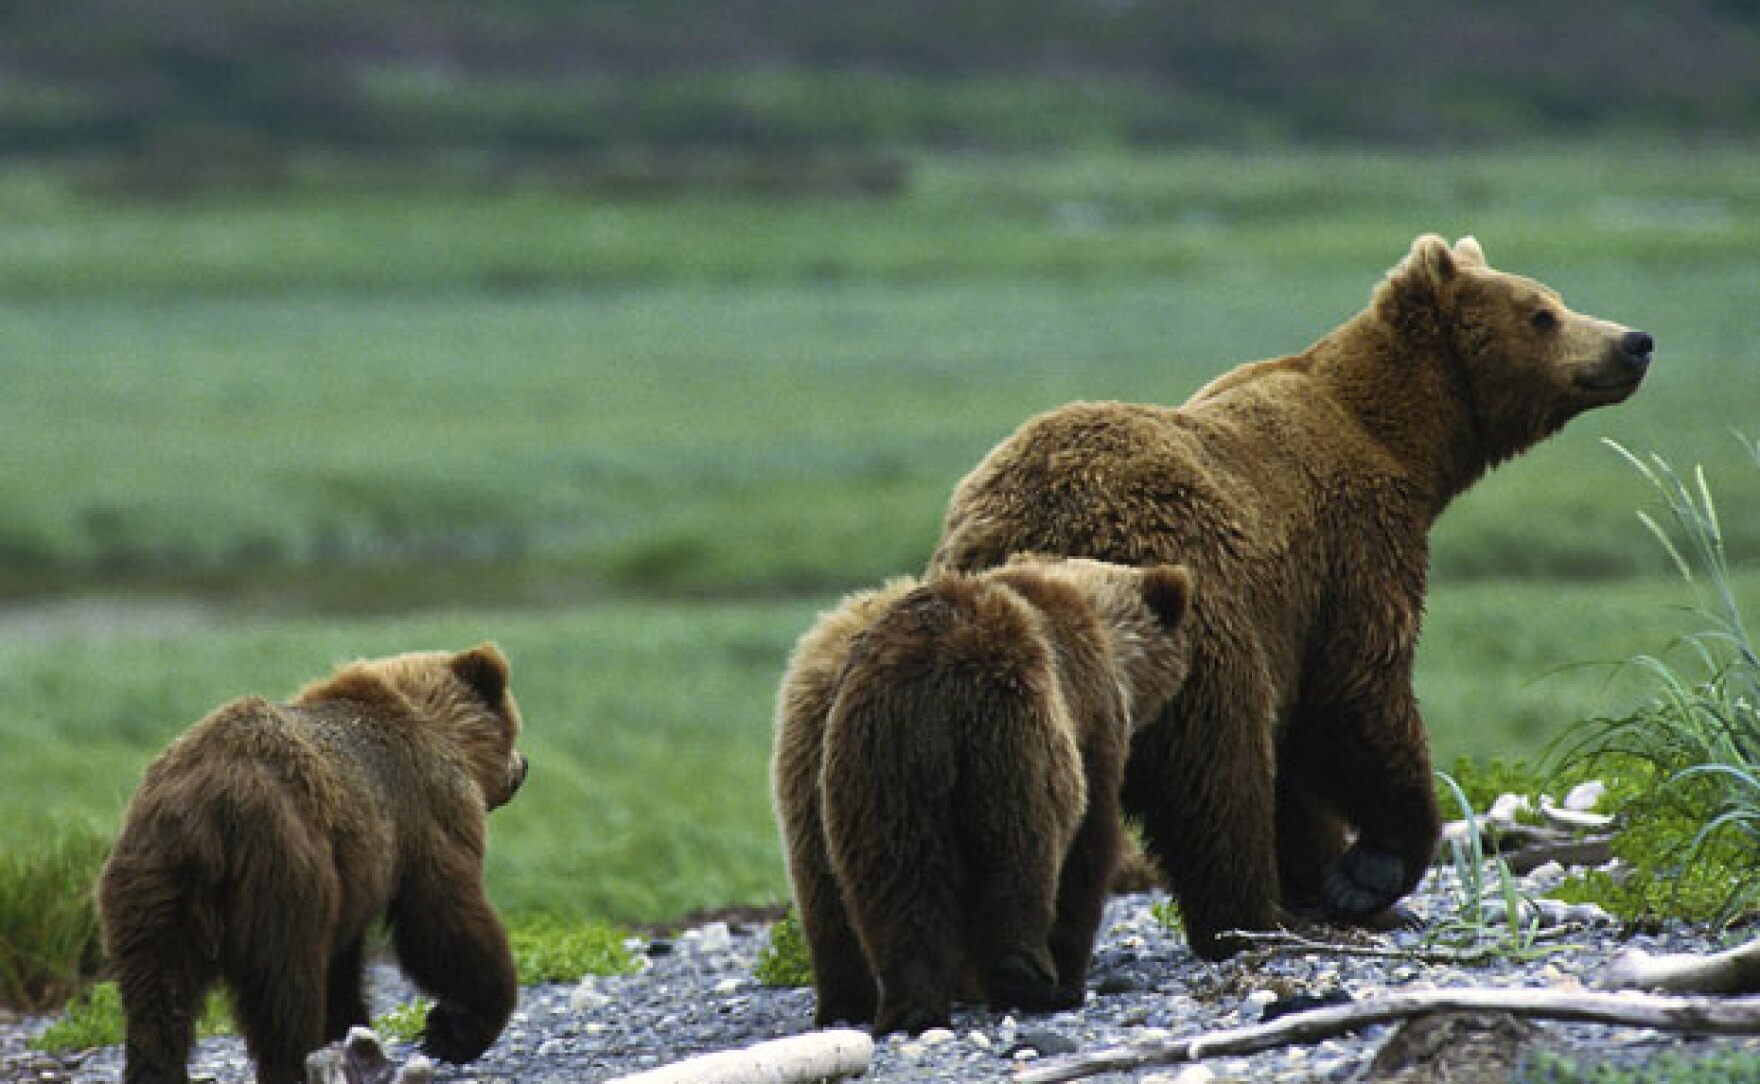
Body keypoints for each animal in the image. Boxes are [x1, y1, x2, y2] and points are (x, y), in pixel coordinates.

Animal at [98, 643, 530, 1084]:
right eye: (515, 726)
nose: (524, 765)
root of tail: (208, 805)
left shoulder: (355, 875)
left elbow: (344, 968)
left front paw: (356, 1033)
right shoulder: (425, 811)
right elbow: (442, 917)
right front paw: (454, 1030)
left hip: (155, 884)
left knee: (158, 995)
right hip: (283, 870)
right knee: (285, 992)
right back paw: (292, 1064)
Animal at [773, 554, 1193, 1035]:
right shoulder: (1091, 722)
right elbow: (1088, 852)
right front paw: (1070, 978)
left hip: (875, 766)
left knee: (885, 877)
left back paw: (888, 1006)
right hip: (1009, 733)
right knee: (1019, 855)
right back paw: (1025, 979)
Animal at [930, 234, 1652, 960]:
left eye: (1556, 299)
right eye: (1541, 314)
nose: (1634, 341)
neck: (1403, 438)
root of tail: (1021, 532)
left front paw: (1339, 882)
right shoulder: (1349, 552)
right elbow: (1359, 693)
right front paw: (1370, 870)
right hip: (1193, 616)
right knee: (1221, 772)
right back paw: (1257, 919)